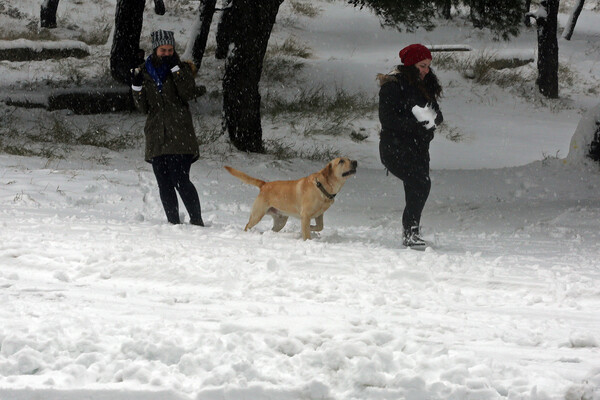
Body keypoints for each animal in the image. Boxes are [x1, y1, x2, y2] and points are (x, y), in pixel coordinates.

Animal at [224, 157, 356, 239]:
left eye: (349, 159)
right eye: (341, 161)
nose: (355, 162)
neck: (322, 186)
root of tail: (264, 184)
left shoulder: (319, 215)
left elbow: (320, 227)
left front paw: (310, 228)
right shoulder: (305, 215)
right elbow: (307, 234)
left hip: (280, 221)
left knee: (272, 229)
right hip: (257, 214)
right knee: (247, 225)